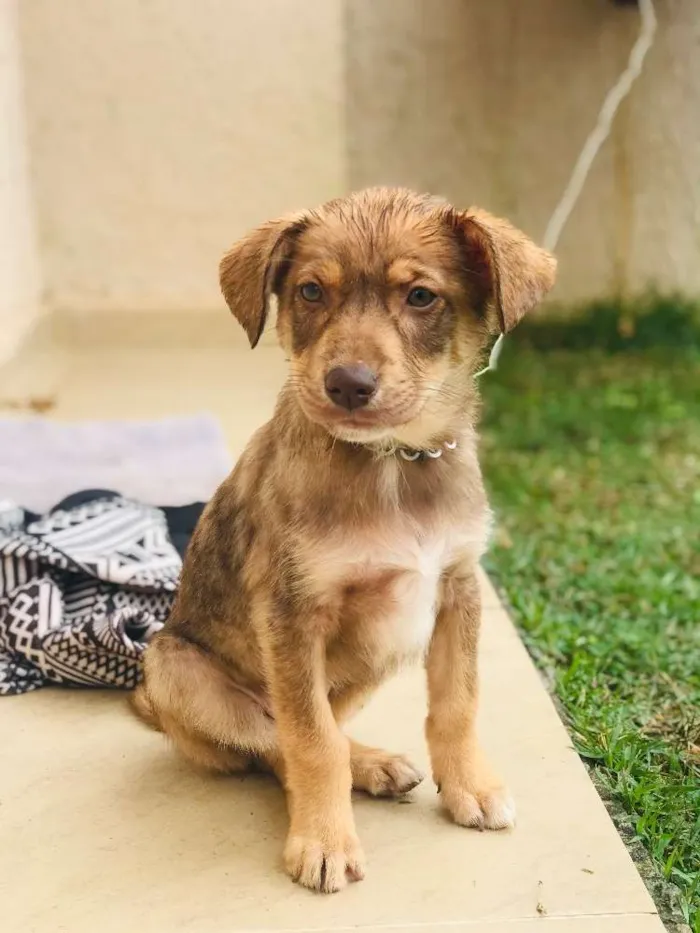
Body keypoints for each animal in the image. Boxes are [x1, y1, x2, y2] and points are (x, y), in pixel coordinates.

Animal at [133, 186, 556, 892]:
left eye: (421, 296)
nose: (348, 385)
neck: (395, 461)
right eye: (310, 291)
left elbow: (457, 702)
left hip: (383, 646)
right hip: (172, 666)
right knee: (272, 739)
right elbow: (310, 741)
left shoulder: (456, 586)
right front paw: (324, 841)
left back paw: (374, 764)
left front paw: (469, 786)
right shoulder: (291, 611)